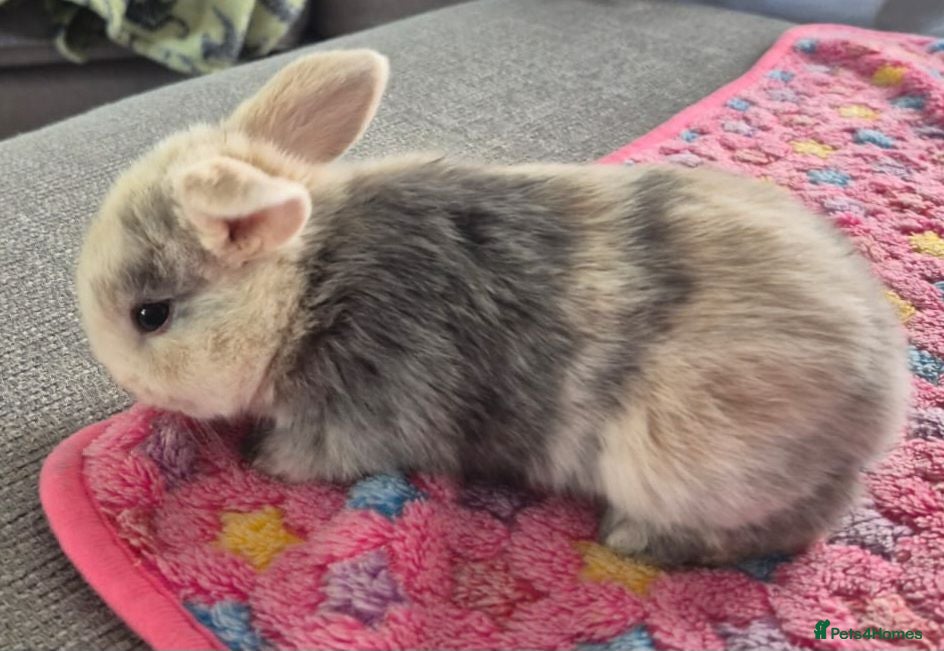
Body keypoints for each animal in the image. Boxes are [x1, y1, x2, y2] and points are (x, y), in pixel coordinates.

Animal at [75, 49, 910, 566]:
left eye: (150, 314)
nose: (121, 377)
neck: (309, 287)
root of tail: (881, 398)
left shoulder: (360, 417)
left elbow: (313, 454)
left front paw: (262, 459)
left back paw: (633, 538)